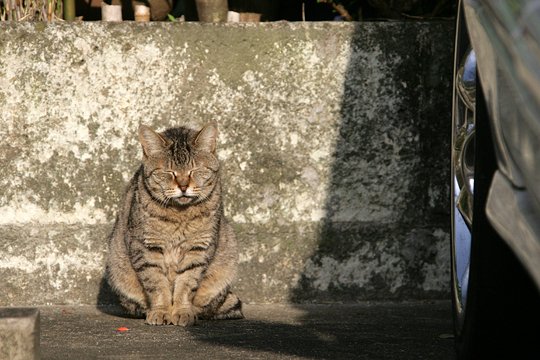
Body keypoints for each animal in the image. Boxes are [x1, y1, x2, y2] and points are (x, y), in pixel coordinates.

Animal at [105, 121, 243, 326]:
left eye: (195, 170)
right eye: (168, 172)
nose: (183, 186)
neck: (179, 215)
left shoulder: (199, 249)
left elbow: (186, 284)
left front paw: (182, 311)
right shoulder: (146, 249)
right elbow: (156, 284)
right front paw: (161, 311)